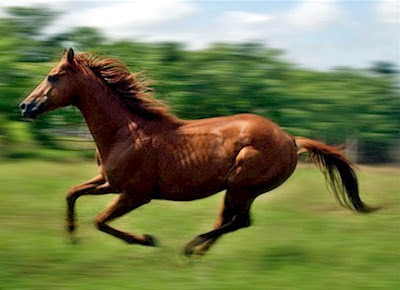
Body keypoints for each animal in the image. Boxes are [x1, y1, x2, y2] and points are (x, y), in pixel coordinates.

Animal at [18, 48, 376, 256]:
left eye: (52, 76)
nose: (25, 106)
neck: (126, 133)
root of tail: (292, 139)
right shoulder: (108, 183)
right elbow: (72, 193)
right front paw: (71, 236)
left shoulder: (135, 194)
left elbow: (100, 220)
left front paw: (147, 239)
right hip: (235, 190)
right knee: (230, 220)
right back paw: (197, 252)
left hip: (242, 185)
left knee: (239, 222)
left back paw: (189, 247)